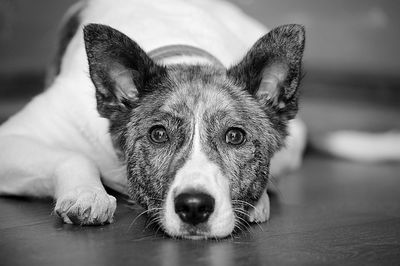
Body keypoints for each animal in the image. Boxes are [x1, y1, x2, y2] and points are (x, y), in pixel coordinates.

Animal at [0, 0, 306, 239]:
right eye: (158, 134)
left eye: (235, 136)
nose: (194, 207)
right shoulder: (12, 139)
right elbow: (75, 156)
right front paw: (87, 194)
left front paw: (259, 201)